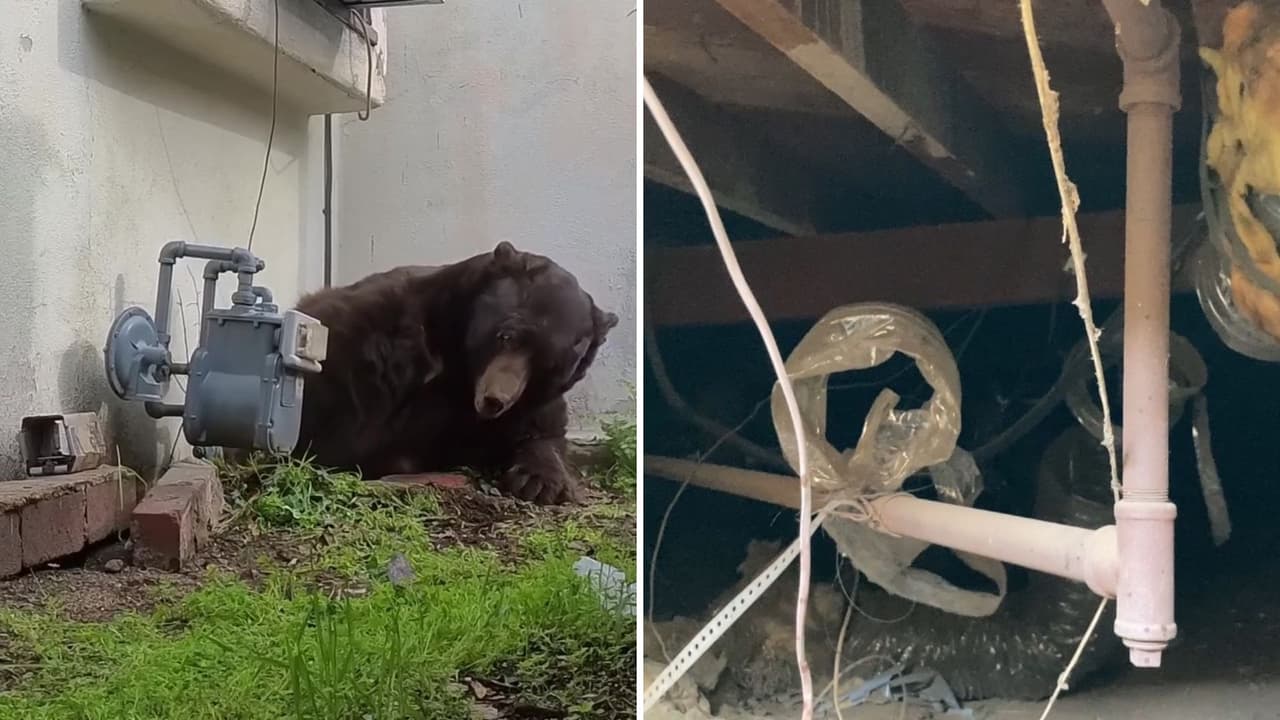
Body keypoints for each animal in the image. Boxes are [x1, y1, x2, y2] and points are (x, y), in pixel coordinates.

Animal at [291, 241, 619, 505]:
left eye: (549, 365)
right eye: (507, 335)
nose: (494, 400)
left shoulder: (526, 404)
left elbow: (542, 432)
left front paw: (537, 481)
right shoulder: (377, 340)